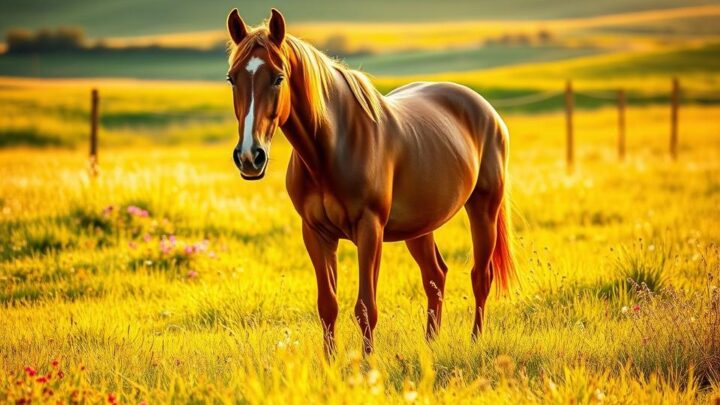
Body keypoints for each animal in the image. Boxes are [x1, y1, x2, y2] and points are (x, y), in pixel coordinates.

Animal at [225, 8, 516, 354]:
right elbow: (327, 306)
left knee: (480, 277)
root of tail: (487, 111)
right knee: (435, 277)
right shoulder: (316, 233)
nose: (249, 156)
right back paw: (430, 344)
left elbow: (366, 307)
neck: (332, 148)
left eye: (278, 77)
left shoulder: (370, 230)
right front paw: (331, 361)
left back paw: (475, 341)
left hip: (484, 209)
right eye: (232, 78)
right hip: (420, 228)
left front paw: (367, 362)